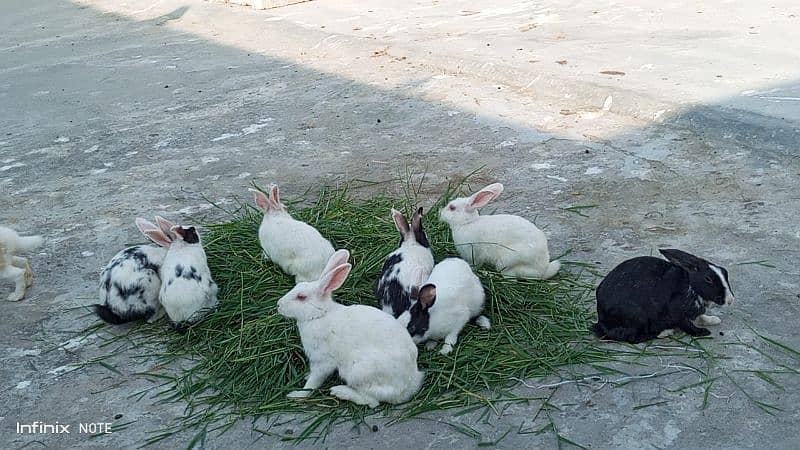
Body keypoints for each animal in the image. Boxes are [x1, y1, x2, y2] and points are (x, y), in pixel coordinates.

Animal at [276, 250, 424, 408]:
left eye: (301, 297)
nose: (279, 305)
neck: (320, 315)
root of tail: (409, 385)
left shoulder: (322, 360)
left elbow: (314, 381)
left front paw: (296, 395)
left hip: (358, 372)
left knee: (372, 401)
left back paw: (340, 391)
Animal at [592, 250, 736, 342]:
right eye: (708, 279)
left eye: (725, 271)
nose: (730, 300)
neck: (691, 285)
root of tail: (601, 322)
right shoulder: (677, 312)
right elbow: (687, 325)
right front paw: (703, 332)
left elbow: (700, 317)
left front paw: (714, 320)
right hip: (638, 318)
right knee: (632, 338)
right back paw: (665, 332)